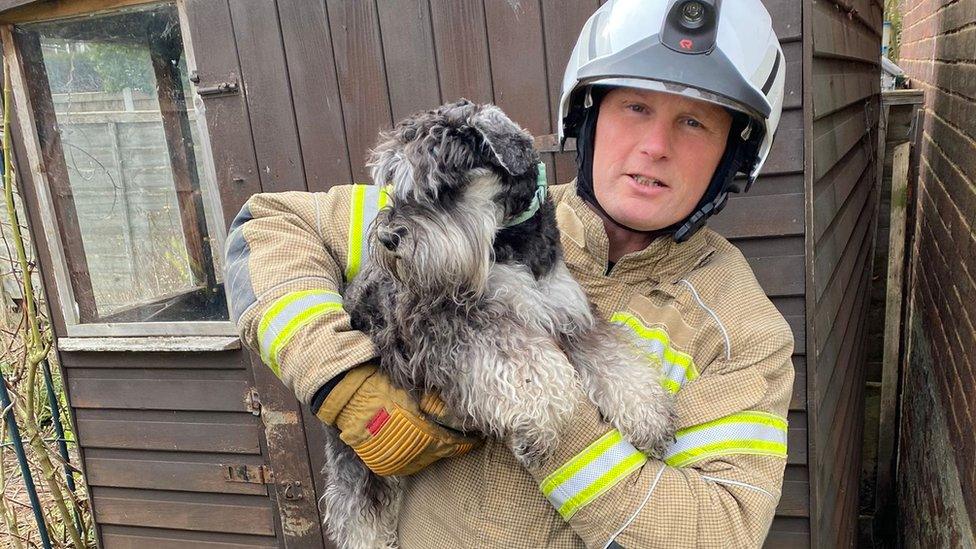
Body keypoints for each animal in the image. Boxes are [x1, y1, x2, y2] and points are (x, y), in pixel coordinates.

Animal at [318, 99, 672, 548]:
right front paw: (537, 421)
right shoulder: (461, 323)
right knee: (358, 515)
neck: (510, 243)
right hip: (356, 460)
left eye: (440, 186)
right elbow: (527, 365)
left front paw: (648, 415)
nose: (387, 238)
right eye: (394, 184)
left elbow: (614, 360)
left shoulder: (571, 318)